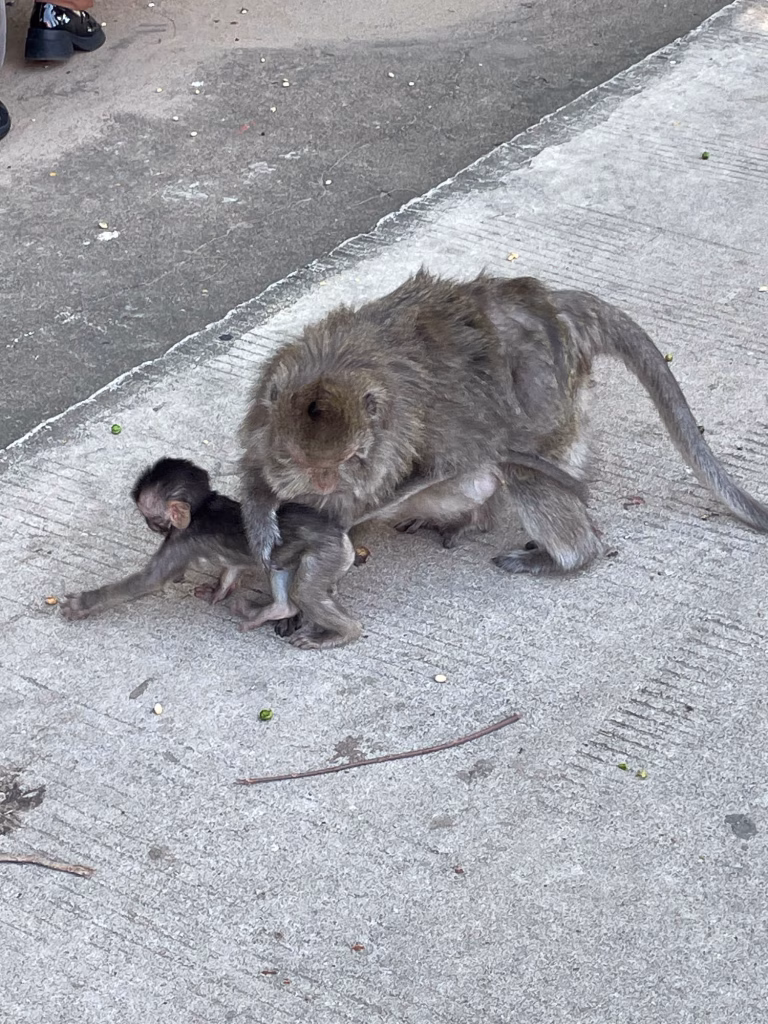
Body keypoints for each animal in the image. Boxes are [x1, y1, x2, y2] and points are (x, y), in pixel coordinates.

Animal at [58, 458, 361, 649]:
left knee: (304, 591)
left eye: (151, 518)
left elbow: (148, 581)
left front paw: (84, 602)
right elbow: (232, 568)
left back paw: (344, 633)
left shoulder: (180, 542)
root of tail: (340, 534)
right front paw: (220, 590)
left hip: (327, 554)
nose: (149, 526)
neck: (201, 509)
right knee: (277, 564)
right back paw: (277, 609)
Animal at [239, 270, 768, 577]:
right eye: (298, 458)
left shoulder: (424, 427)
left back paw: (571, 556)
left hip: (554, 401)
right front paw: (263, 521)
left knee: (525, 465)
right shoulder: (265, 406)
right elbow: (256, 467)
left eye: (350, 458)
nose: (324, 483)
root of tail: (556, 305)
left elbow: (450, 464)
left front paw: (338, 519)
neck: (343, 363)